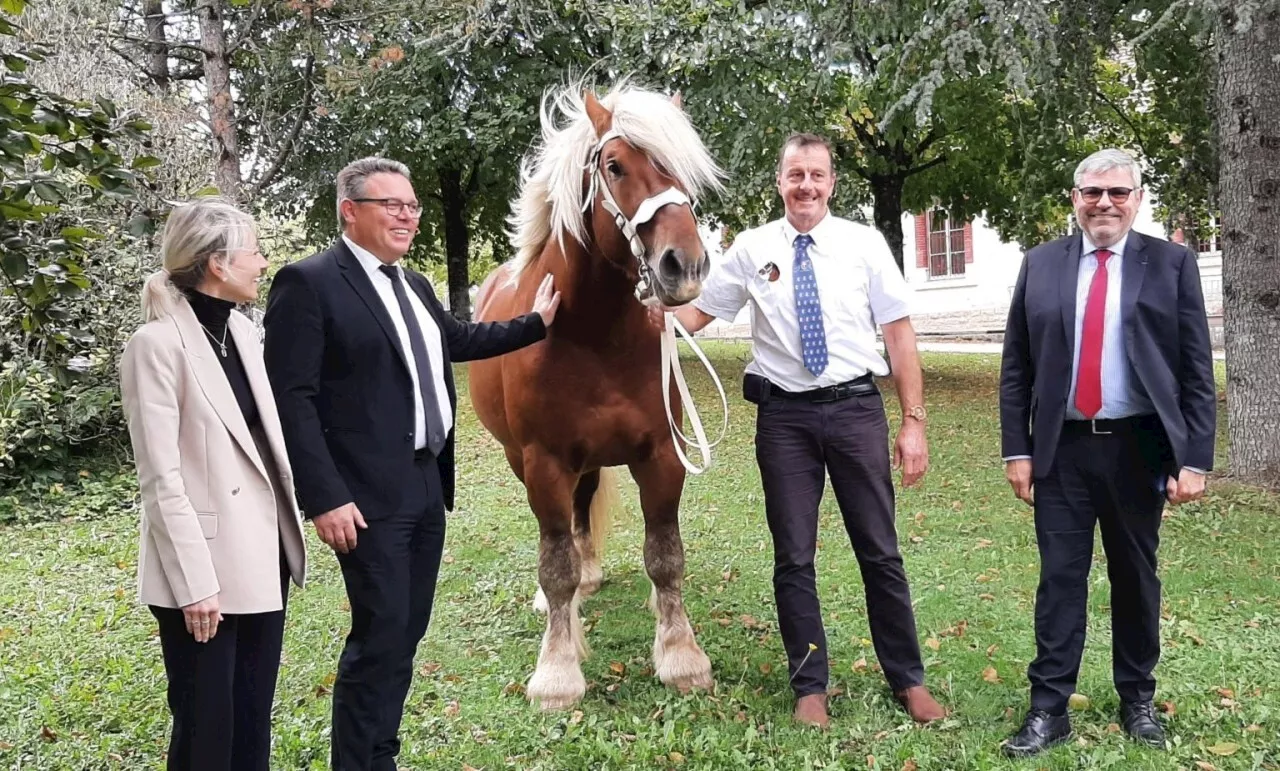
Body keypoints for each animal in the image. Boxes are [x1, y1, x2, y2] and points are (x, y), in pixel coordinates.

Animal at [473, 85, 732, 706]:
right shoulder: (544, 462)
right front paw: (557, 671)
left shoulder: (661, 456)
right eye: (614, 166)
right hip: (522, 460)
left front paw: (681, 655)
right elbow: (555, 565)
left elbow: (665, 558)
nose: (685, 265)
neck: (594, 337)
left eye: (683, 170)